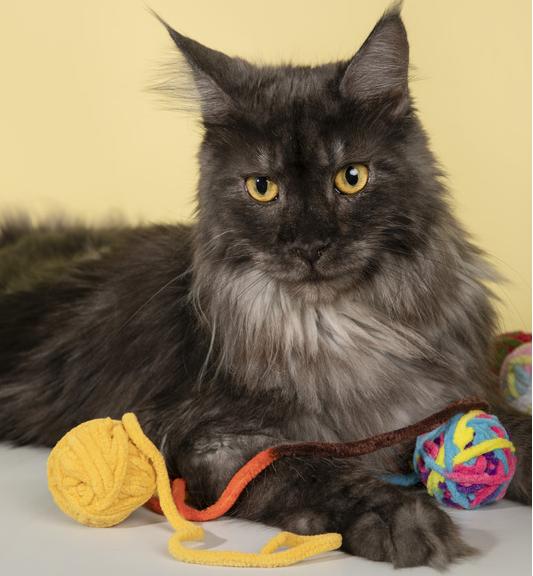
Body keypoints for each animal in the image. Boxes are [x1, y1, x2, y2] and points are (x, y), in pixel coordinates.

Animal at [0, 4, 528, 568]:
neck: (339, 330)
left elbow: (519, 429)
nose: (310, 244)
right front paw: (397, 515)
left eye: (352, 177)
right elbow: (311, 471)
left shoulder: (444, 399)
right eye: (262, 187)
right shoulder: (214, 440)